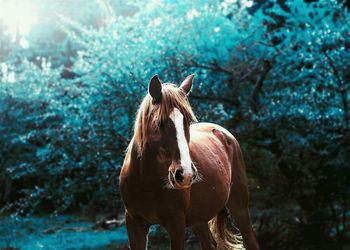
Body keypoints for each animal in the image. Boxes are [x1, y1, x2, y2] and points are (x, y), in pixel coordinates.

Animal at [120, 74, 260, 250]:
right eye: (159, 123)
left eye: (186, 121)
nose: (185, 174)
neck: (146, 180)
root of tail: (224, 133)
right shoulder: (134, 223)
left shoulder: (176, 223)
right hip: (198, 219)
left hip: (239, 206)